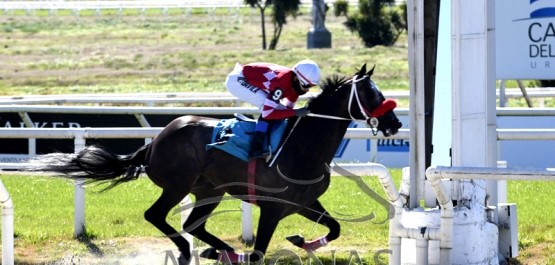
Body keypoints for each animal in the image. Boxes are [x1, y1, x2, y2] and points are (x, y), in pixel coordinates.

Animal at [29, 63, 400, 262]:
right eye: (371, 94)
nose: (395, 123)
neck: (303, 147)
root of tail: (157, 140)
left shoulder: (304, 202)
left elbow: (335, 228)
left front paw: (303, 242)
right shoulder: (271, 208)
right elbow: (259, 252)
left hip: (210, 189)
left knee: (196, 225)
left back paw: (219, 251)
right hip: (178, 184)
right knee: (157, 216)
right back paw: (189, 250)